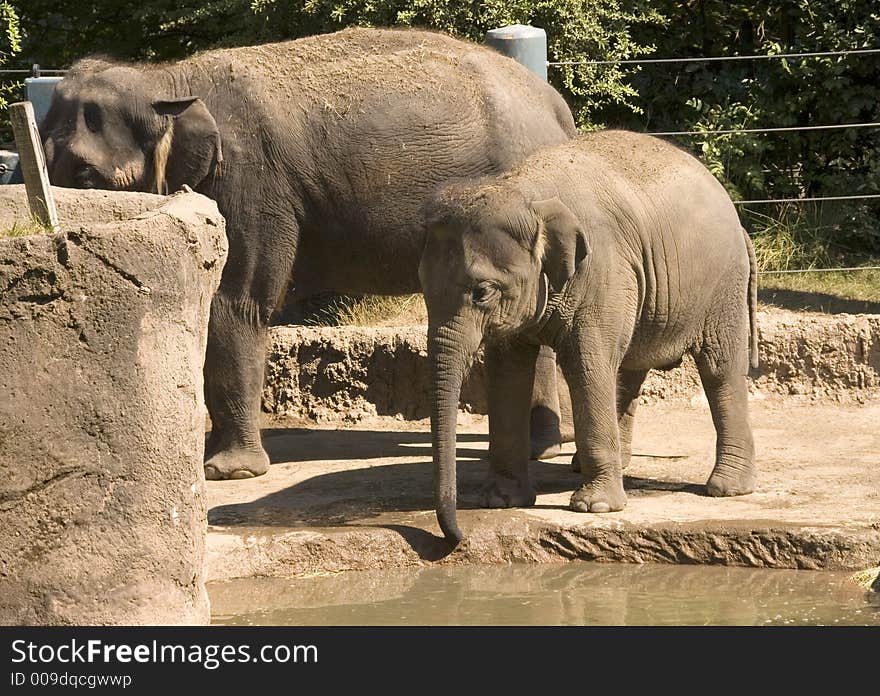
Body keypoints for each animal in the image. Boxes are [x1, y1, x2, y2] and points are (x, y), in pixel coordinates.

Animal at [43, 29, 576, 482]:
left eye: (85, 174)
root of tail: (556, 107)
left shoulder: (250, 183)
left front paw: (229, 473)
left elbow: (235, 304)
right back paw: (543, 447)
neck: (168, 80)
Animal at [420, 130, 756, 544]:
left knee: (719, 368)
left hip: (722, 284)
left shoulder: (602, 270)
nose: (457, 538)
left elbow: (586, 364)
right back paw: (596, 465)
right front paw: (500, 502)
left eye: (482, 292)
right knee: (628, 367)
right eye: (422, 288)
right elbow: (508, 374)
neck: (526, 191)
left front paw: (594, 508)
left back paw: (727, 489)